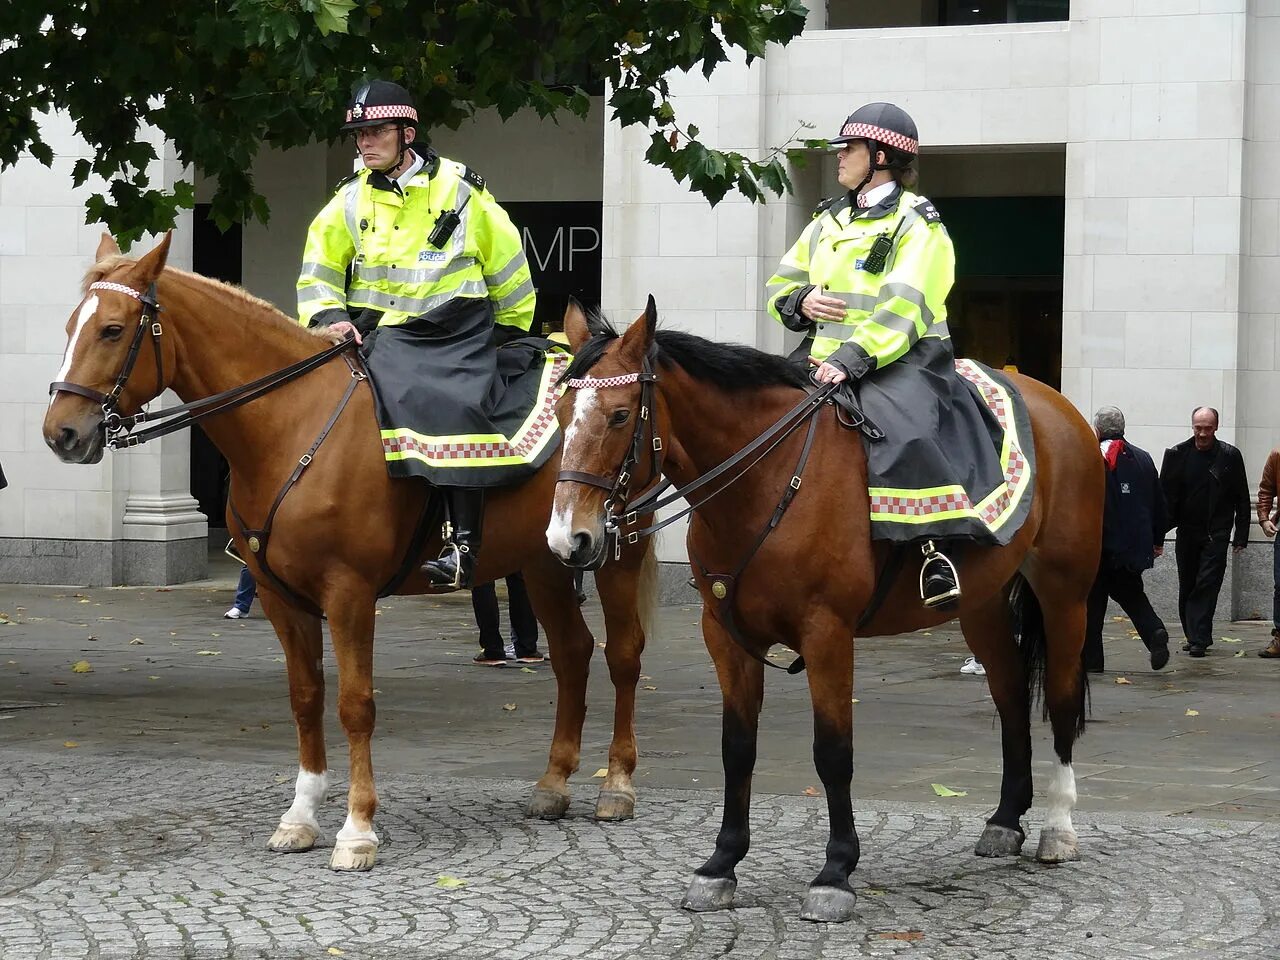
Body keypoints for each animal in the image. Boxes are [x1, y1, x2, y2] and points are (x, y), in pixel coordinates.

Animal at [41, 232, 660, 870]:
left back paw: (616, 785)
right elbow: (306, 697)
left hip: (616, 550)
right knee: (572, 654)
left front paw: (358, 828)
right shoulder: (280, 597)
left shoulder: (349, 593)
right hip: (546, 560)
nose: (62, 431)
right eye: (70, 326)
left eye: (112, 329)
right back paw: (554, 783)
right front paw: (300, 816)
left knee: (622, 655)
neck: (291, 426)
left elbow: (355, 703)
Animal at [547, 299, 1100, 926]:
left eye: (619, 416)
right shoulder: (726, 635)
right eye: (561, 412)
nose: (569, 540)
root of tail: (1053, 400)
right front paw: (721, 864)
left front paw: (836, 872)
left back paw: (1058, 824)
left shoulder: (827, 633)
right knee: (1009, 697)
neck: (767, 480)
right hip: (979, 605)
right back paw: (1006, 819)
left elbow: (833, 752)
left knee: (1060, 699)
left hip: (1064, 594)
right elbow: (737, 748)